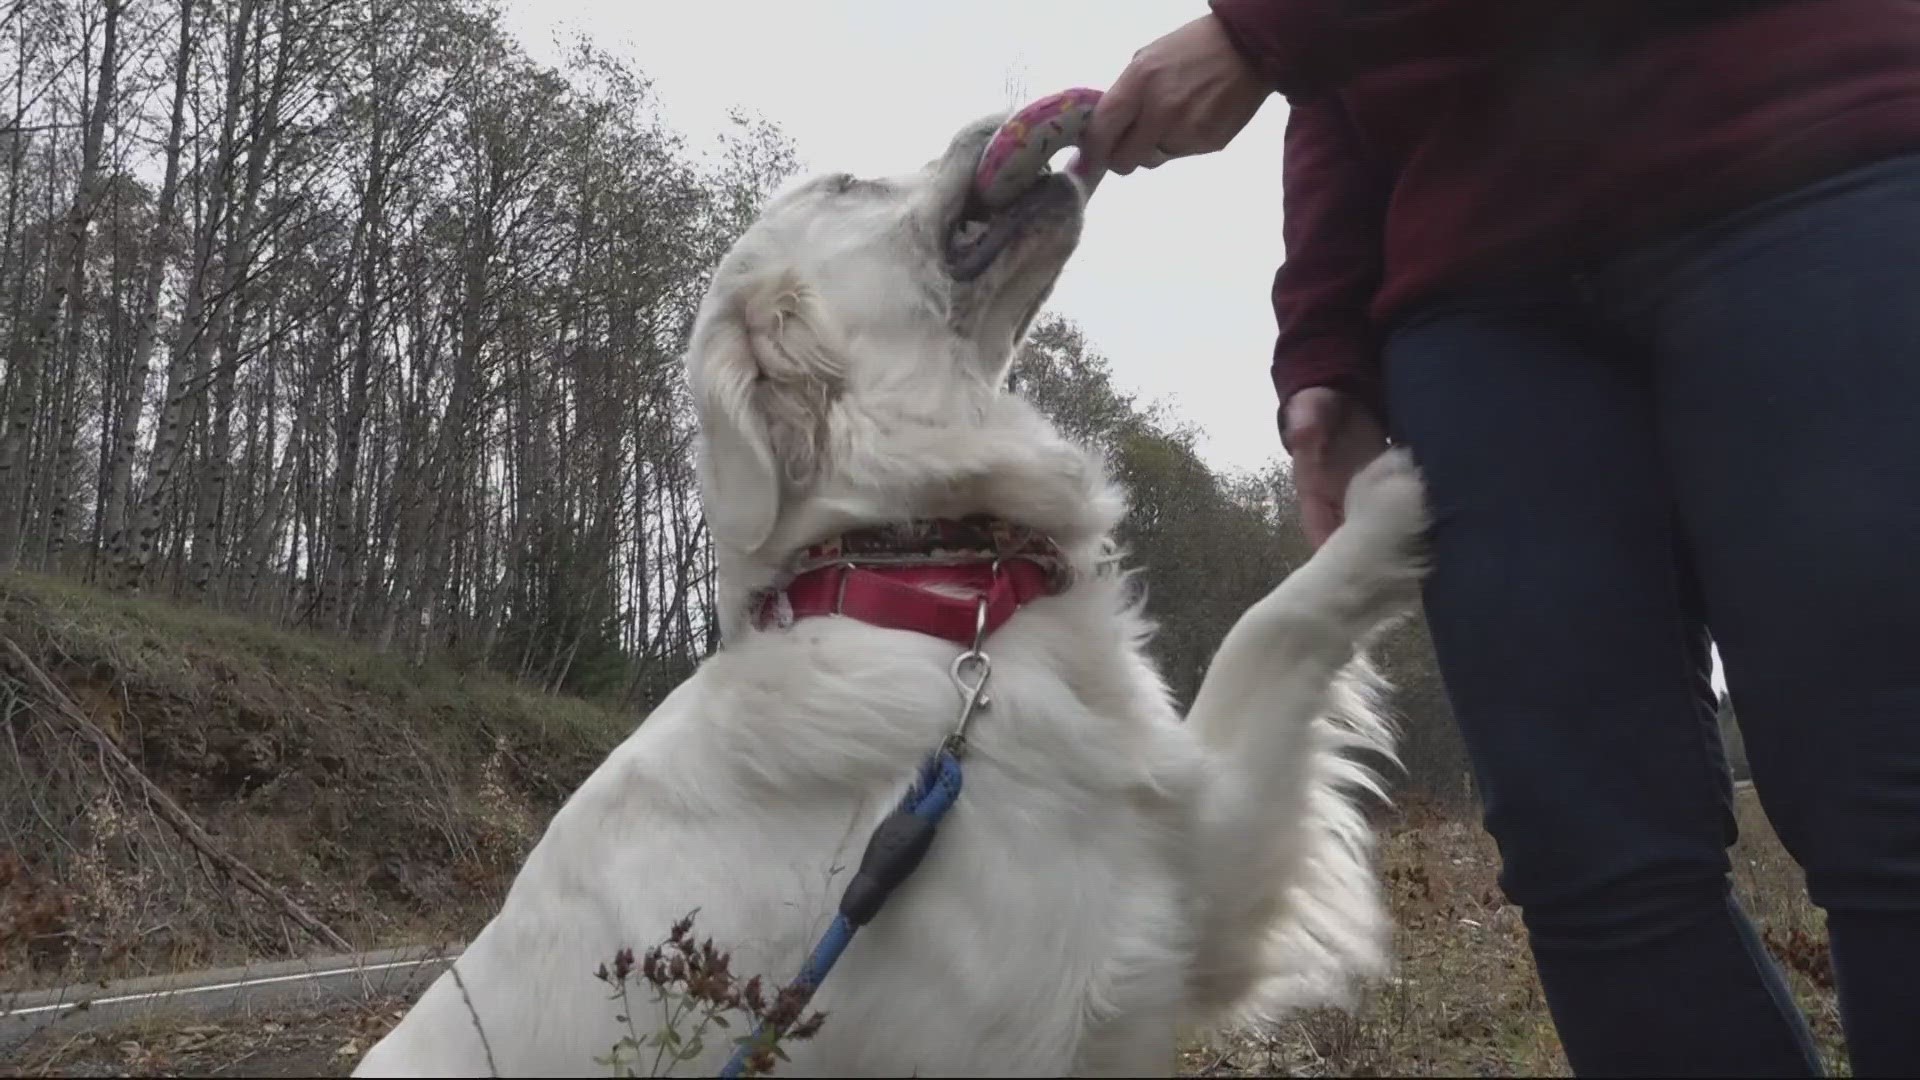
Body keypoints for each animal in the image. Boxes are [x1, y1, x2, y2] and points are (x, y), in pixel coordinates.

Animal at [360, 113, 1428, 1068]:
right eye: (847, 185)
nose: (995, 122)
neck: (924, 579)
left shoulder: (1189, 884)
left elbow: (1268, 641)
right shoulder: (1117, 959)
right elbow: (1274, 624)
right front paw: (1391, 497)